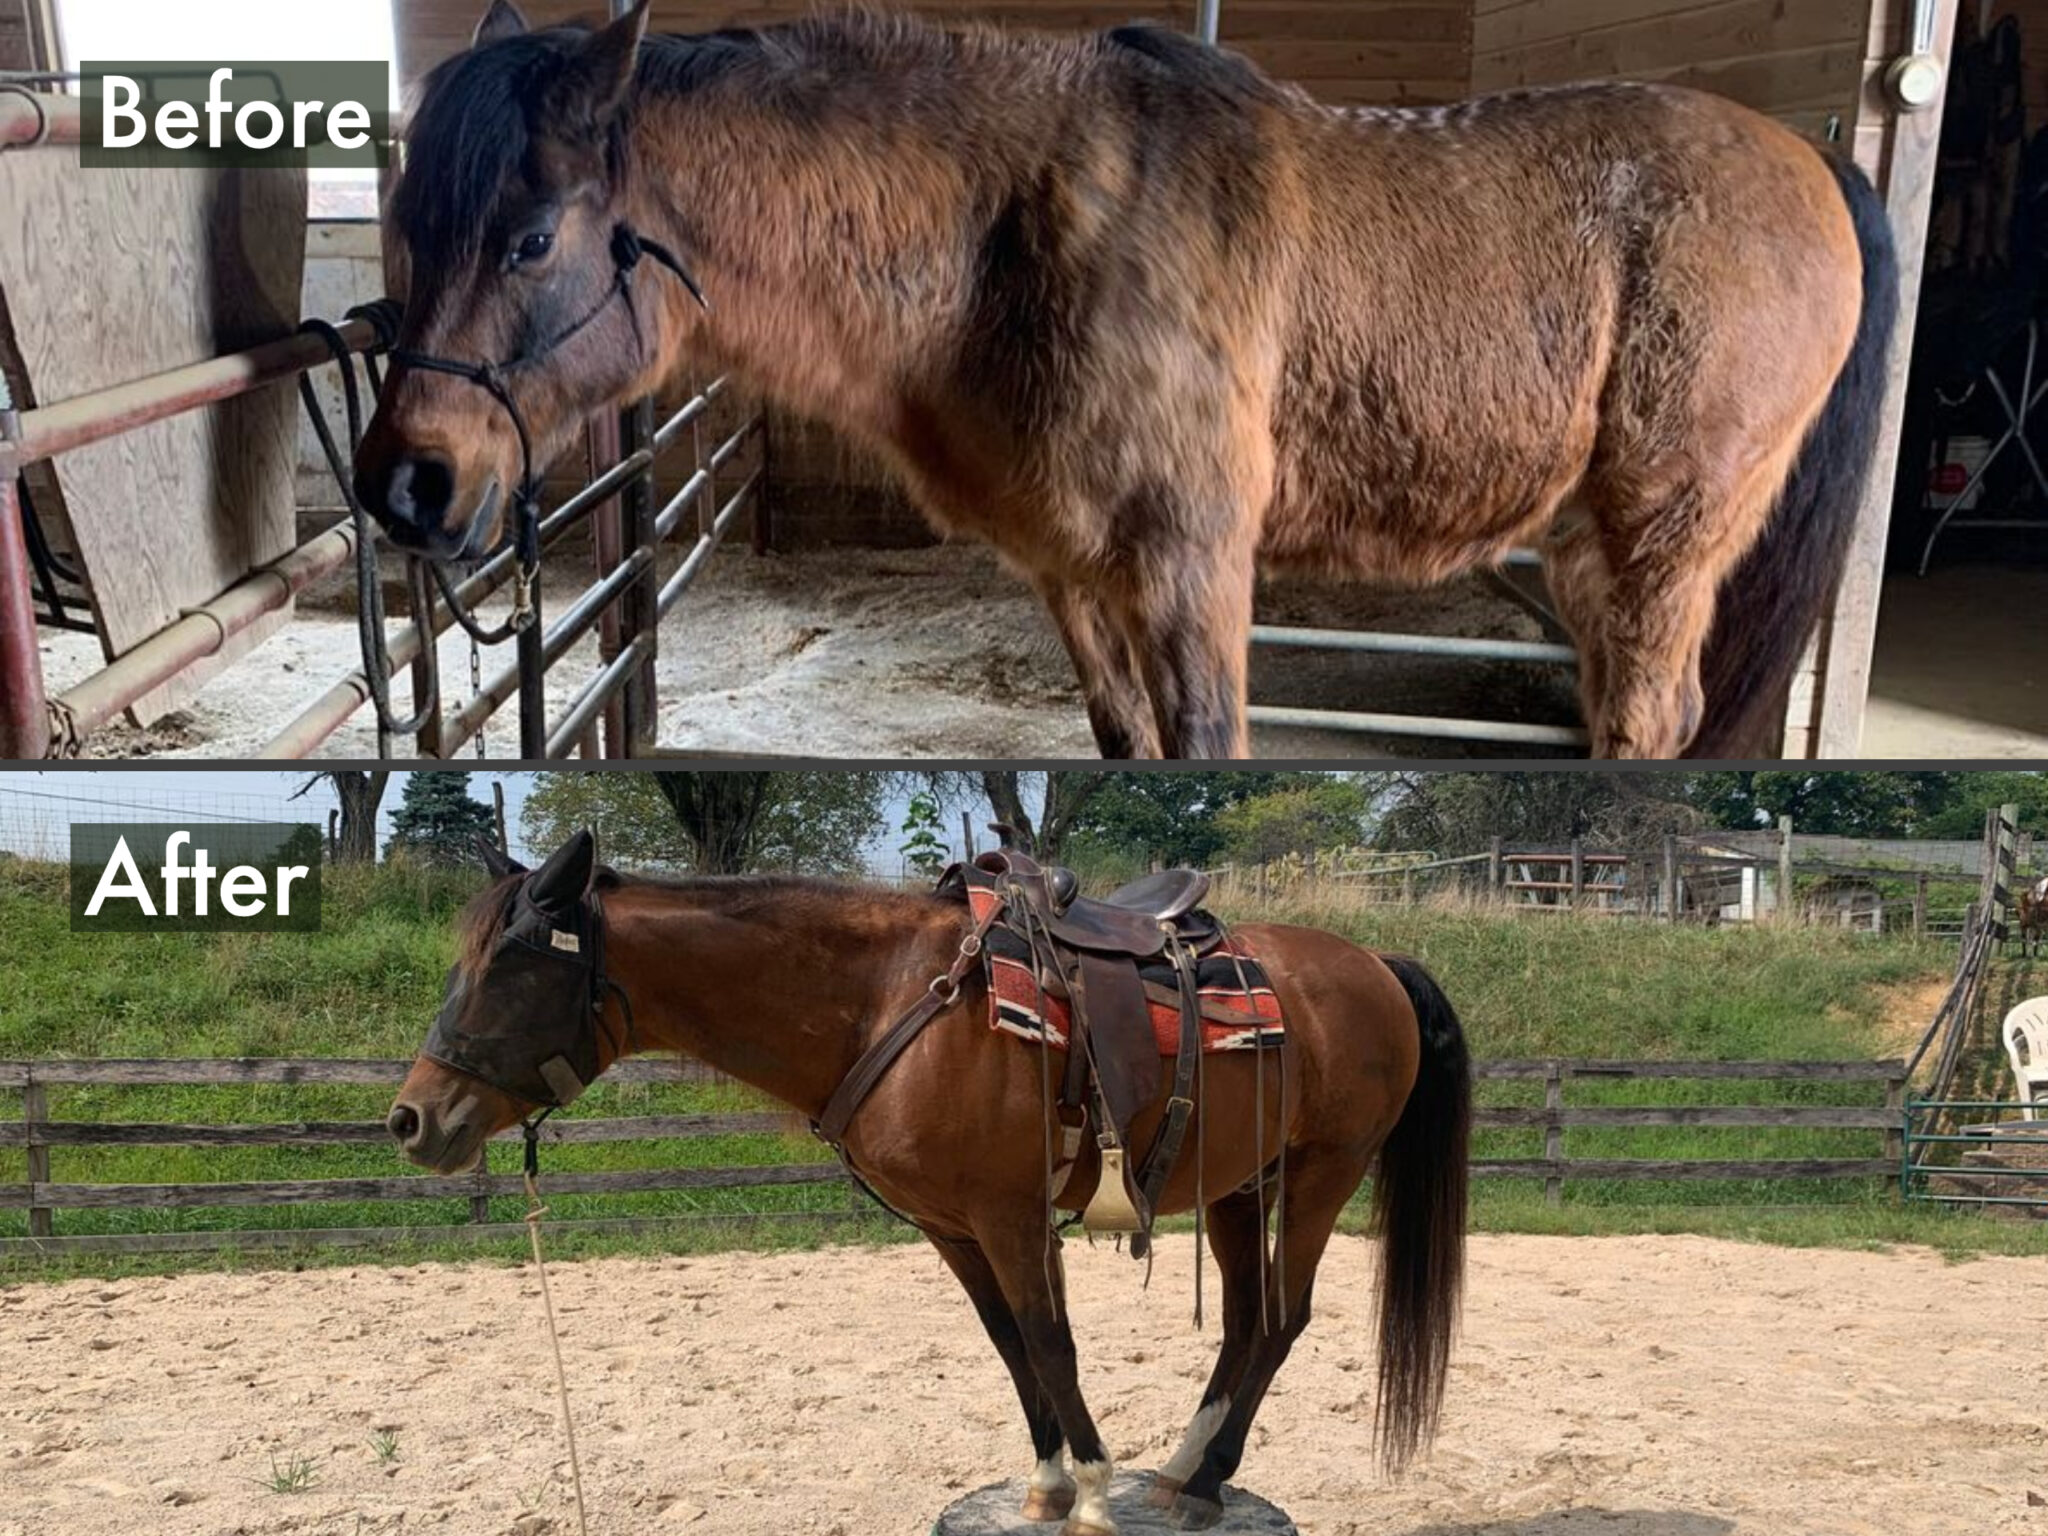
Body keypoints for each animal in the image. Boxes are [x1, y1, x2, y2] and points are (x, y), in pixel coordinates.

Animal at [353, 3, 1897, 760]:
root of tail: (1813, 161)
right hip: (1587, 548)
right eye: (405, 223)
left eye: (530, 236)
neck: (1015, 234)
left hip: (1662, 535)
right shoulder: (1075, 577)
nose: (405, 484)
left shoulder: (1193, 569)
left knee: (1649, 721)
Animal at [385, 831, 1471, 1534]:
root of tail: (1375, 963)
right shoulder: (953, 1229)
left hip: (1326, 1168)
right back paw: (1179, 1473)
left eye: (515, 966)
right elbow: (1010, 1348)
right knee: (1246, 1323)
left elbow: (1050, 1342)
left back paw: (1205, 1485)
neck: (888, 1000)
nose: (412, 1120)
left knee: (1282, 1320)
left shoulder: (1009, 1216)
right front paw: (1047, 1485)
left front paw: (1089, 1492)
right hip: (1239, 1186)